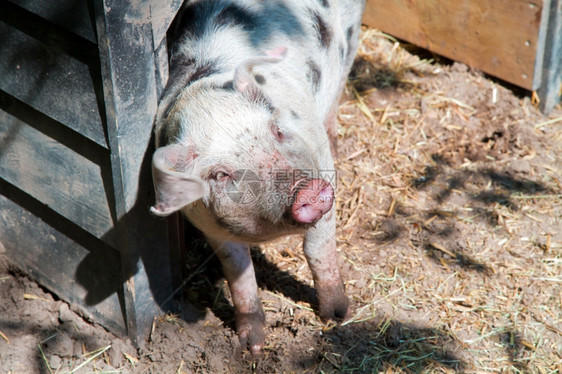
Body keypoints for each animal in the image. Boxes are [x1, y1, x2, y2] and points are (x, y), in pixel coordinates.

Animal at [150, 0, 364, 354]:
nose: (306, 190)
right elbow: (237, 270)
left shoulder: (322, 165)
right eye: (220, 174)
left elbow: (318, 248)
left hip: (352, 30)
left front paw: (337, 316)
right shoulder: (207, 224)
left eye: (277, 130)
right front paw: (252, 346)